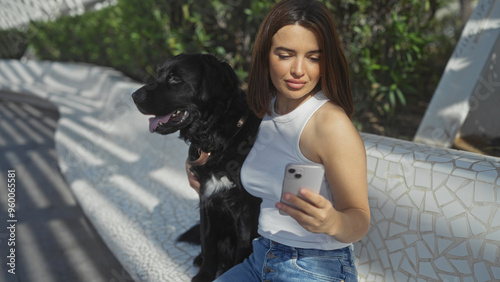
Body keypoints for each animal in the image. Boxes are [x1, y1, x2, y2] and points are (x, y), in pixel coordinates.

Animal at [131, 54, 262, 280]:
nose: (134, 95)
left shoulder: (247, 210)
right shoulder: (206, 199)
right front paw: (204, 275)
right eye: (159, 74)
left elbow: (242, 251)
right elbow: (208, 244)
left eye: (175, 79)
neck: (219, 140)